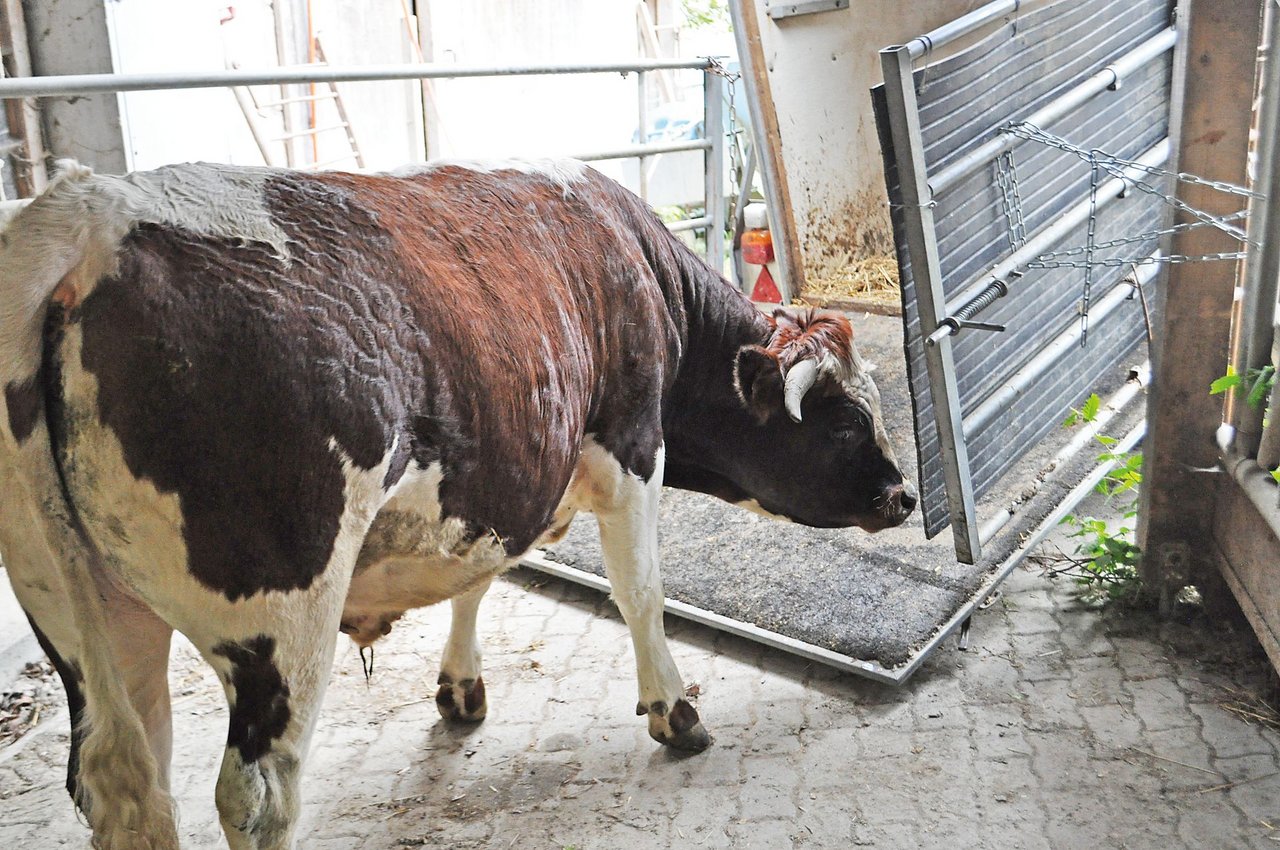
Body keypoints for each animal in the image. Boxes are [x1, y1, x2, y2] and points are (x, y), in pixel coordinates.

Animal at [2, 161, 921, 850]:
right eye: (846, 422)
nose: (906, 495)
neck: (644, 277)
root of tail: (84, 215)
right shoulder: (631, 448)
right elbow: (642, 592)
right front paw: (675, 708)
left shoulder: (504, 470)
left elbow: (478, 575)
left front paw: (460, 686)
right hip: (282, 612)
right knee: (256, 795)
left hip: (88, 616)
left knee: (128, 785)